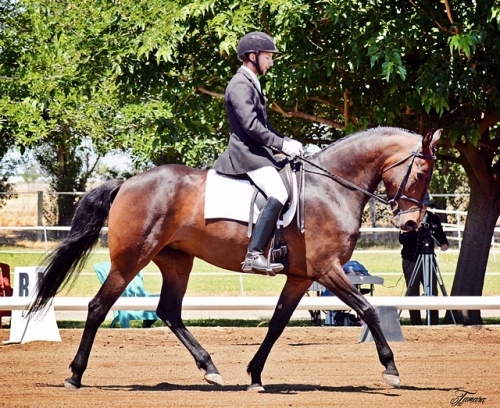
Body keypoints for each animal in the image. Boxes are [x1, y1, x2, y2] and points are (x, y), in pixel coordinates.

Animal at [29, 126, 440, 390]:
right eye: (421, 170)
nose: (411, 223)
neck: (331, 188)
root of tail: (127, 182)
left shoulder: (302, 277)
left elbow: (277, 323)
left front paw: (255, 375)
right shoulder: (327, 270)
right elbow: (368, 310)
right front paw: (391, 369)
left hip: (176, 261)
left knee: (169, 311)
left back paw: (210, 368)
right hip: (131, 259)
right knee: (98, 307)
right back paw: (75, 375)